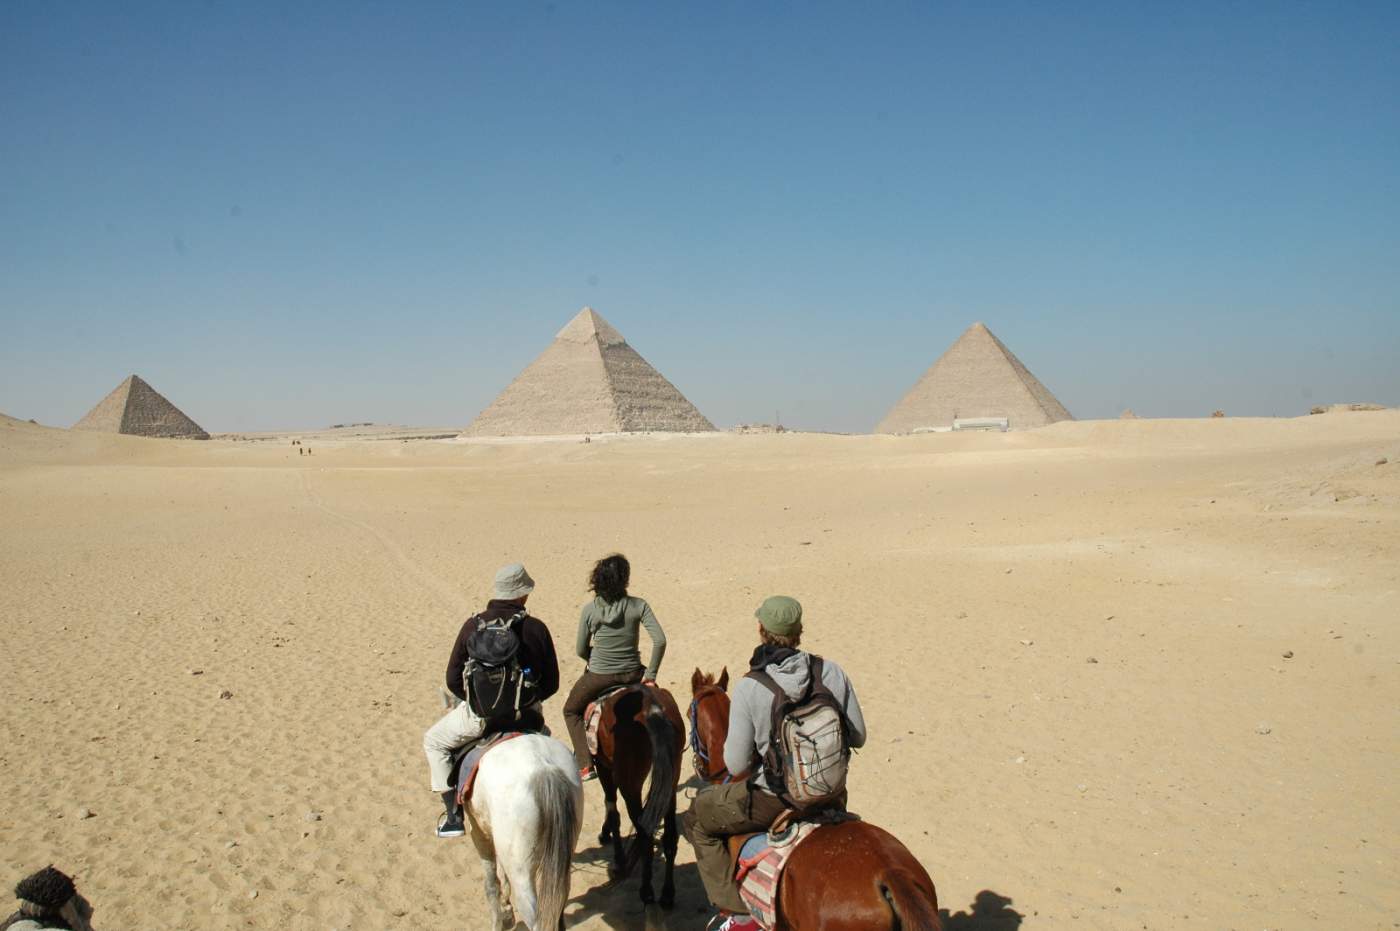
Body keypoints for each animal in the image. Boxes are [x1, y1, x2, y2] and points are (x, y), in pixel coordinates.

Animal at [467, 733, 582, 929]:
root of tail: (544, 770)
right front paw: (506, 906)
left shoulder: (478, 831)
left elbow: (491, 884)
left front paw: (499, 921)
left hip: (523, 879)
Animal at [593, 680, 686, 901]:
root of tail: (652, 709)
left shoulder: (602, 767)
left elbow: (612, 811)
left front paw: (617, 856)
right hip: (671, 780)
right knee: (669, 836)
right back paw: (667, 894)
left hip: (630, 785)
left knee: (645, 837)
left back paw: (646, 891)